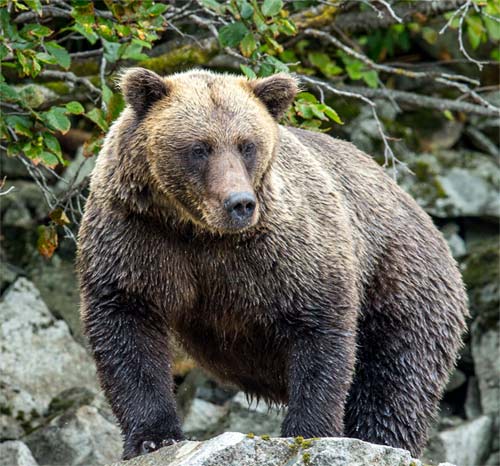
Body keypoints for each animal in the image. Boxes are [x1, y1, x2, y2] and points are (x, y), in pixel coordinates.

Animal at [76, 67, 466, 460]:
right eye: (200, 148)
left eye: (247, 145)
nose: (239, 202)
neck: (198, 231)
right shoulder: (138, 237)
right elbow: (128, 324)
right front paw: (154, 436)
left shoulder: (286, 250)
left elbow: (319, 329)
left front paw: (310, 432)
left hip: (401, 287)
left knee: (394, 381)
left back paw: (382, 439)